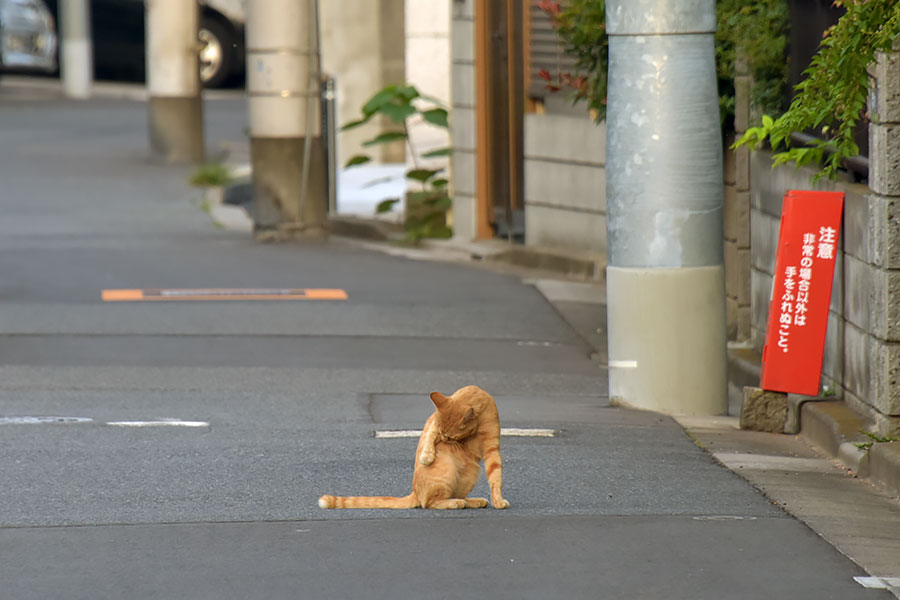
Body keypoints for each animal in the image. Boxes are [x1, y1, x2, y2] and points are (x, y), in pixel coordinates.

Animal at [320, 386, 510, 508]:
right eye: (443, 435)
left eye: (450, 437)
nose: (445, 441)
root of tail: (414, 492)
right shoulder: (432, 423)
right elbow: (429, 439)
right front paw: (426, 456)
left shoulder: (492, 447)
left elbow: (496, 476)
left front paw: (498, 500)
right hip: (446, 468)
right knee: (429, 503)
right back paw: (455, 503)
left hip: (470, 473)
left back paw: (472, 501)